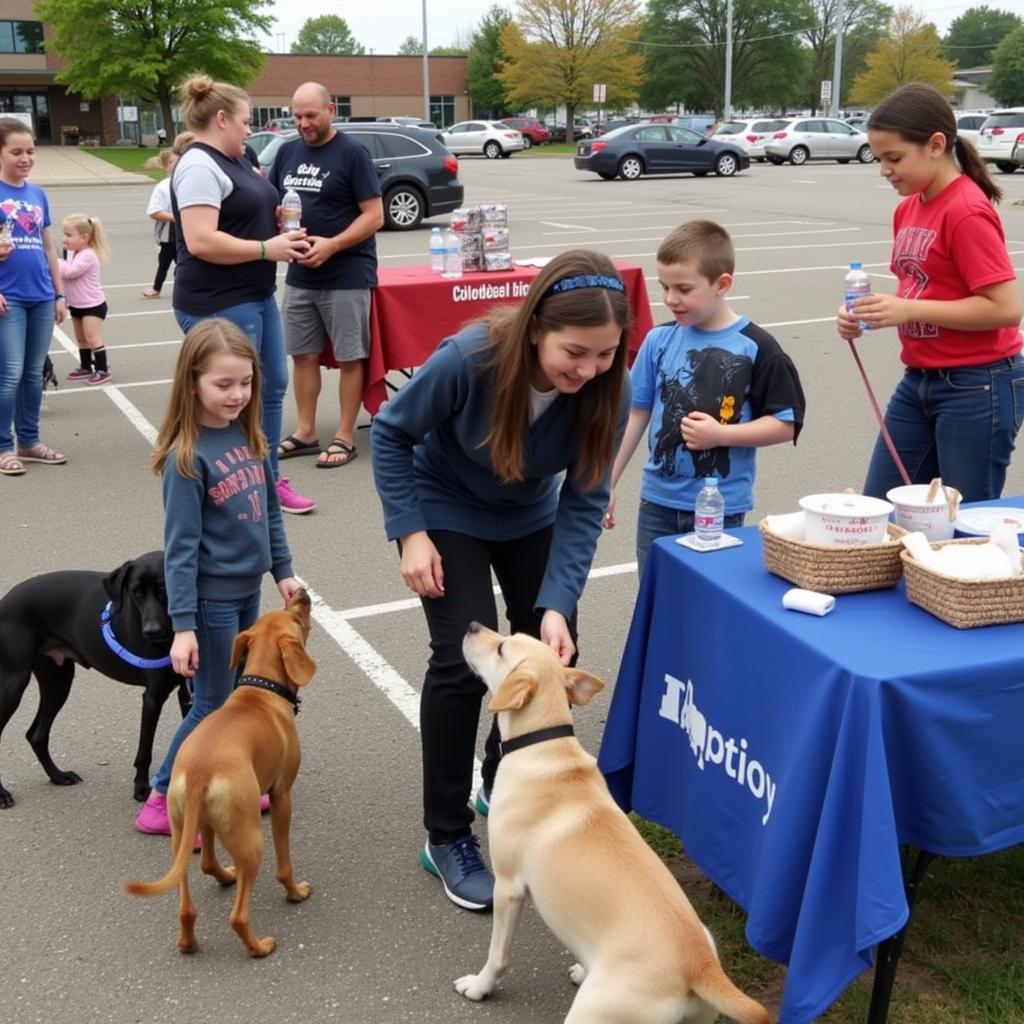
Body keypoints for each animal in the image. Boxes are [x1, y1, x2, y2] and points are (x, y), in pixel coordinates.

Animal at [0, 552, 190, 806]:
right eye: (136, 591)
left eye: (164, 589)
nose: (152, 631)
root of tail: (5, 600)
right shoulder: (153, 696)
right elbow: (145, 751)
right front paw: (141, 789)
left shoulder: (186, 691)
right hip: (14, 684)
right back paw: (2, 793)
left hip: (58, 680)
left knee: (36, 734)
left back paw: (58, 776)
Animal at [124, 589, 315, 954]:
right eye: (296, 618)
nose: (300, 592)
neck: (261, 689)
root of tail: (199, 773)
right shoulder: (283, 795)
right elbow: (284, 864)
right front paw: (296, 892)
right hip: (251, 839)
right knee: (238, 915)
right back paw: (259, 946)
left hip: (186, 831)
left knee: (193, 889)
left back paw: (192, 935)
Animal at [460, 622, 770, 1024]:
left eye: (501, 649)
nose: (472, 626)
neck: (543, 744)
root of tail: (698, 964)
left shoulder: (509, 887)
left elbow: (498, 955)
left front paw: (480, 986)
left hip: (593, 1013)